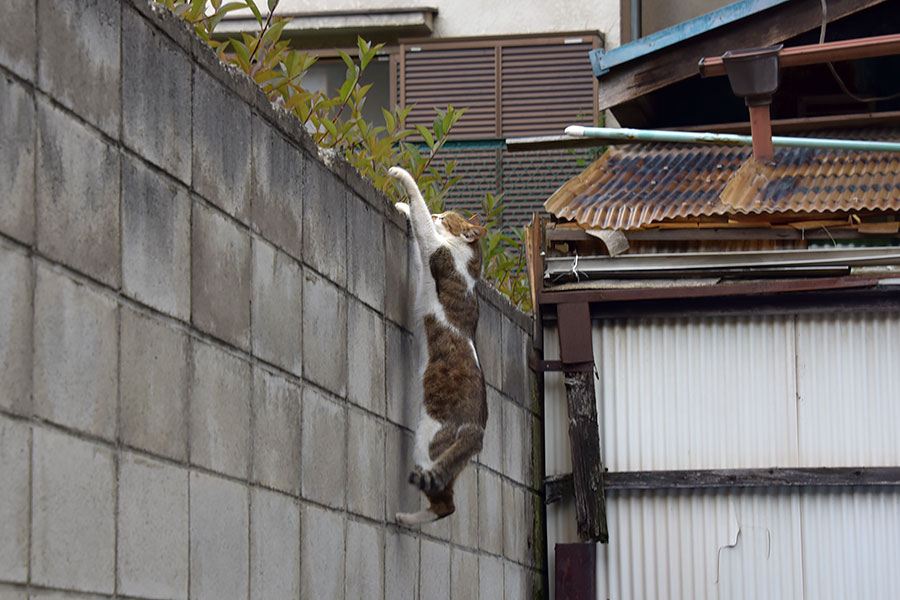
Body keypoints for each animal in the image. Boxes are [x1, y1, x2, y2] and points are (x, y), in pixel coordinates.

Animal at [386, 165, 486, 524]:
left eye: (445, 219)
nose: (438, 213)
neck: (470, 264)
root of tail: (476, 431)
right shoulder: (426, 260)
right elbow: (417, 227)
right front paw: (402, 207)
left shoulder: (434, 251)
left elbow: (420, 214)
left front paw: (400, 177)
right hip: (447, 462)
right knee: (448, 500)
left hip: (428, 441)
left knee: (445, 505)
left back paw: (402, 518)